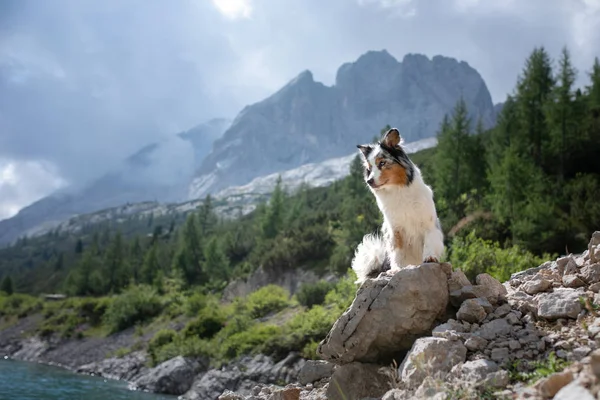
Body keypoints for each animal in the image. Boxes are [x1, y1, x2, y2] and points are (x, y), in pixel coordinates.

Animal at [350, 126, 442, 282]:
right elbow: (397, 251)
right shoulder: (395, 229)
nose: (369, 181)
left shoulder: (428, 224)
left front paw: (430, 257)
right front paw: (396, 269)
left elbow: (429, 242)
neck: (398, 190)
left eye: (382, 163)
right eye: (369, 168)